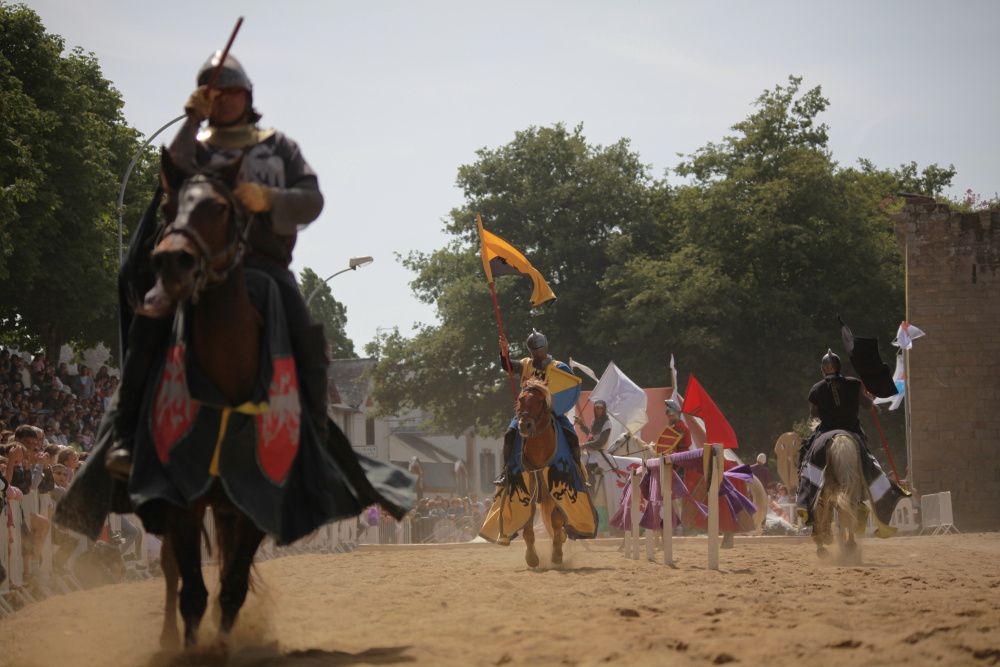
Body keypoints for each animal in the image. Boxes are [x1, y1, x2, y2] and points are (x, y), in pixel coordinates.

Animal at [516, 380, 572, 568]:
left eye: (539, 401)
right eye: (520, 399)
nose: (524, 425)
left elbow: (556, 520)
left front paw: (557, 554)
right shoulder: (530, 489)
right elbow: (528, 523)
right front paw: (531, 557)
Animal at [808, 434, 864, 564]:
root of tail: (840, 442)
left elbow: (823, 511)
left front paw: (824, 539)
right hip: (852, 487)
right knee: (849, 509)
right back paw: (849, 545)